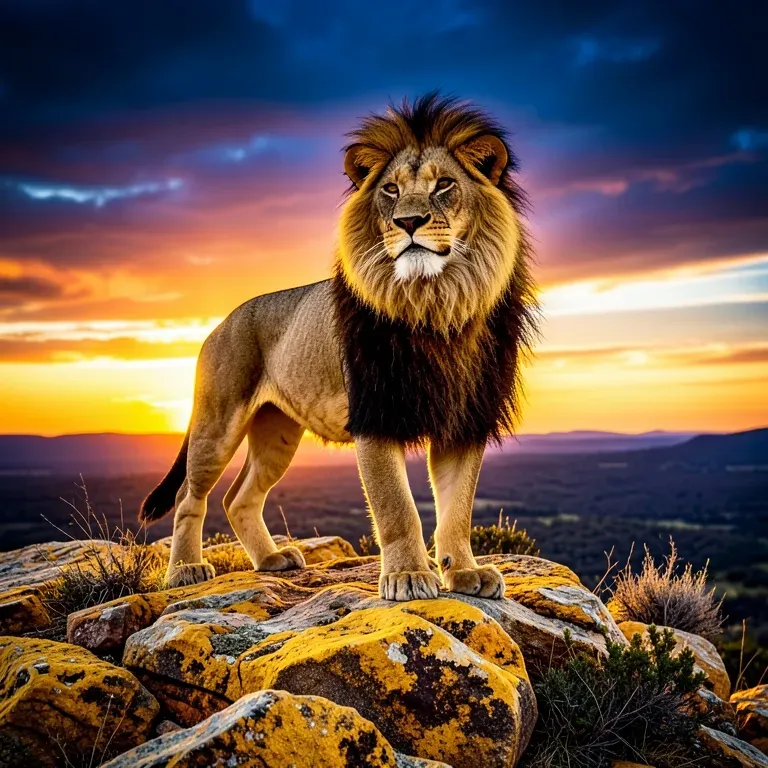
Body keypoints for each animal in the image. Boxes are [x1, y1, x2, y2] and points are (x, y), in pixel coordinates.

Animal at [140, 93, 538, 601]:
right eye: (390, 190)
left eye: (445, 185)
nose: (409, 221)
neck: (438, 302)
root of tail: (220, 324)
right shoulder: (375, 413)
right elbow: (395, 507)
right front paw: (409, 578)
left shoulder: (465, 418)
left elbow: (458, 507)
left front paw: (466, 573)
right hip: (217, 422)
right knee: (190, 495)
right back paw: (185, 570)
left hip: (278, 431)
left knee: (238, 497)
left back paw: (272, 560)